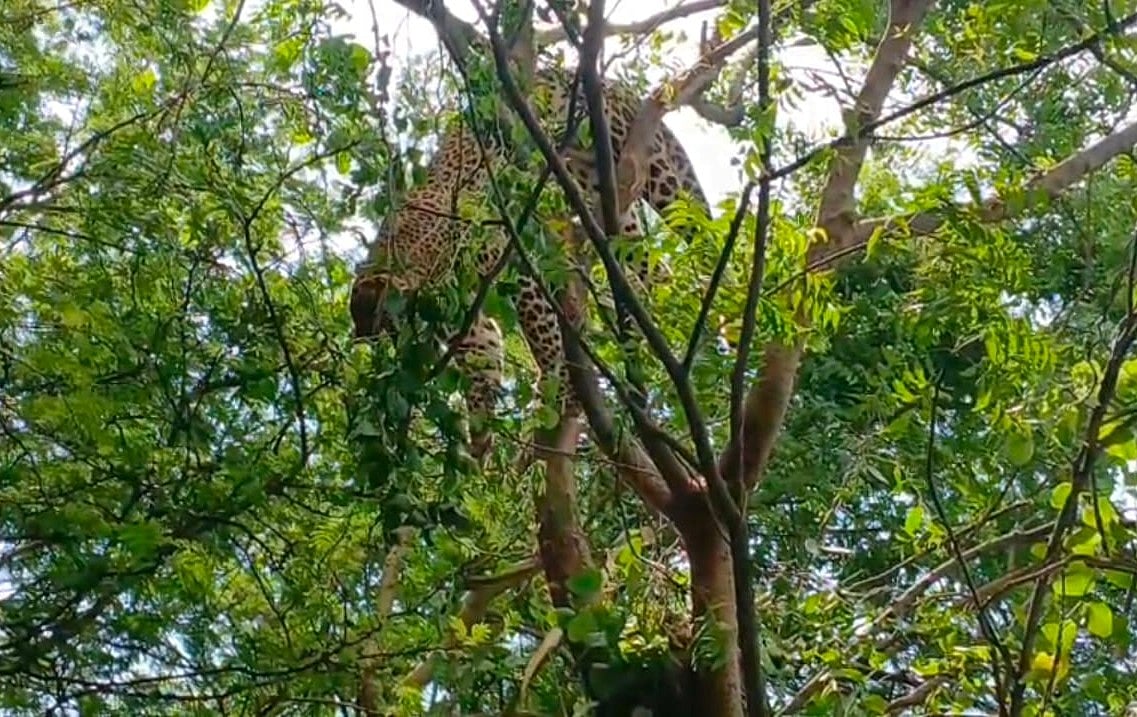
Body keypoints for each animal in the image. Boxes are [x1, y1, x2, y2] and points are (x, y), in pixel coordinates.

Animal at [349, 66, 710, 460]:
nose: (372, 341)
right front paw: (479, 448)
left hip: (652, 169)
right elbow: (484, 357)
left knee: (692, 224)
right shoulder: (467, 318)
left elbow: (543, 335)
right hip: (609, 198)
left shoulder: (516, 266)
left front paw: (559, 389)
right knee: (651, 267)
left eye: (383, 323)